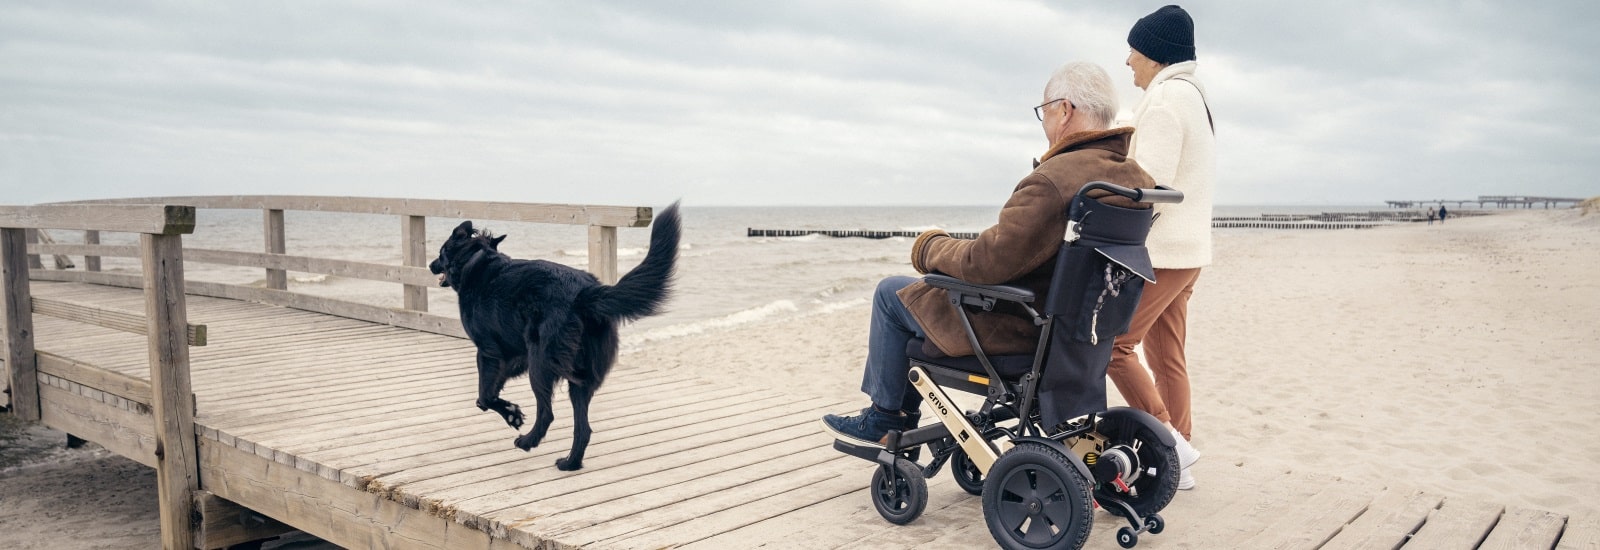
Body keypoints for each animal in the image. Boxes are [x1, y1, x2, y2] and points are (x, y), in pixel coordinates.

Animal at [428, 202, 678, 466]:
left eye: (441, 252)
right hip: (579, 377)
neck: (474, 261)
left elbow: (484, 395)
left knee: (547, 413)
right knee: (583, 428)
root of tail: (585, 293)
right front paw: (510, 412)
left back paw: (528, 442)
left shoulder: (488, 352)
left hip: (540, 364)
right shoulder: (515, 356)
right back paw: (570, 463)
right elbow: (488, 394)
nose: (430, 265)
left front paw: (511, 414)